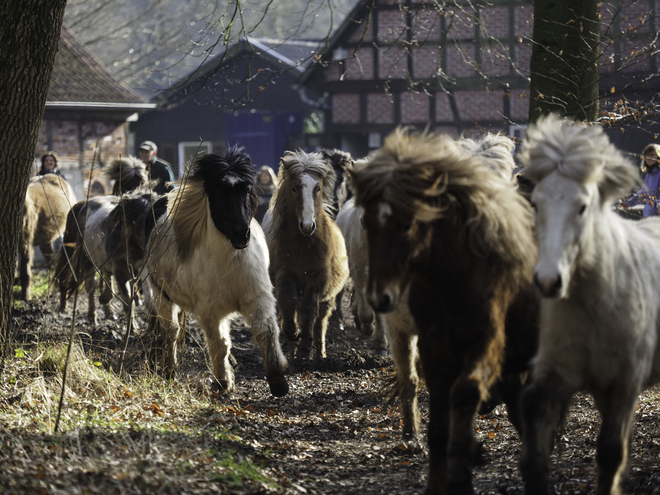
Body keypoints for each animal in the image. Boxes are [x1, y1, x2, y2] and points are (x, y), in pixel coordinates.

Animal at [148, 148, 290, 400]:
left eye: (246, 188)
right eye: (218, 191)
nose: (241, 234)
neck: (231, 265)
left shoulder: (258, 299)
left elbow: (266, 332)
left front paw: (278, 382)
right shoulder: (211, 312)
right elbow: (219, 345)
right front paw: (222, 383)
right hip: (161, 296)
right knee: (171, 332)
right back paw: (169, 370)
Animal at [266, 150, 350, 360]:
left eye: (318, 188)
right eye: (294, 188)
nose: (307, 226)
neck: (303, 246)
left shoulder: (317, 280)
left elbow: (309, 310)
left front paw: (305, 348)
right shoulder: (284, 276)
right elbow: (288, 305)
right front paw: (293, 335)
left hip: (328, 298)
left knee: (320, 322)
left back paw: (320, 353)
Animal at [520, 113, 660, 495]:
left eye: (582, 207)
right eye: (536, 203)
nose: (548, 281)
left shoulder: (625, 381)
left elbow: (610, 452)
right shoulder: (559, 372)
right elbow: (533, 432)